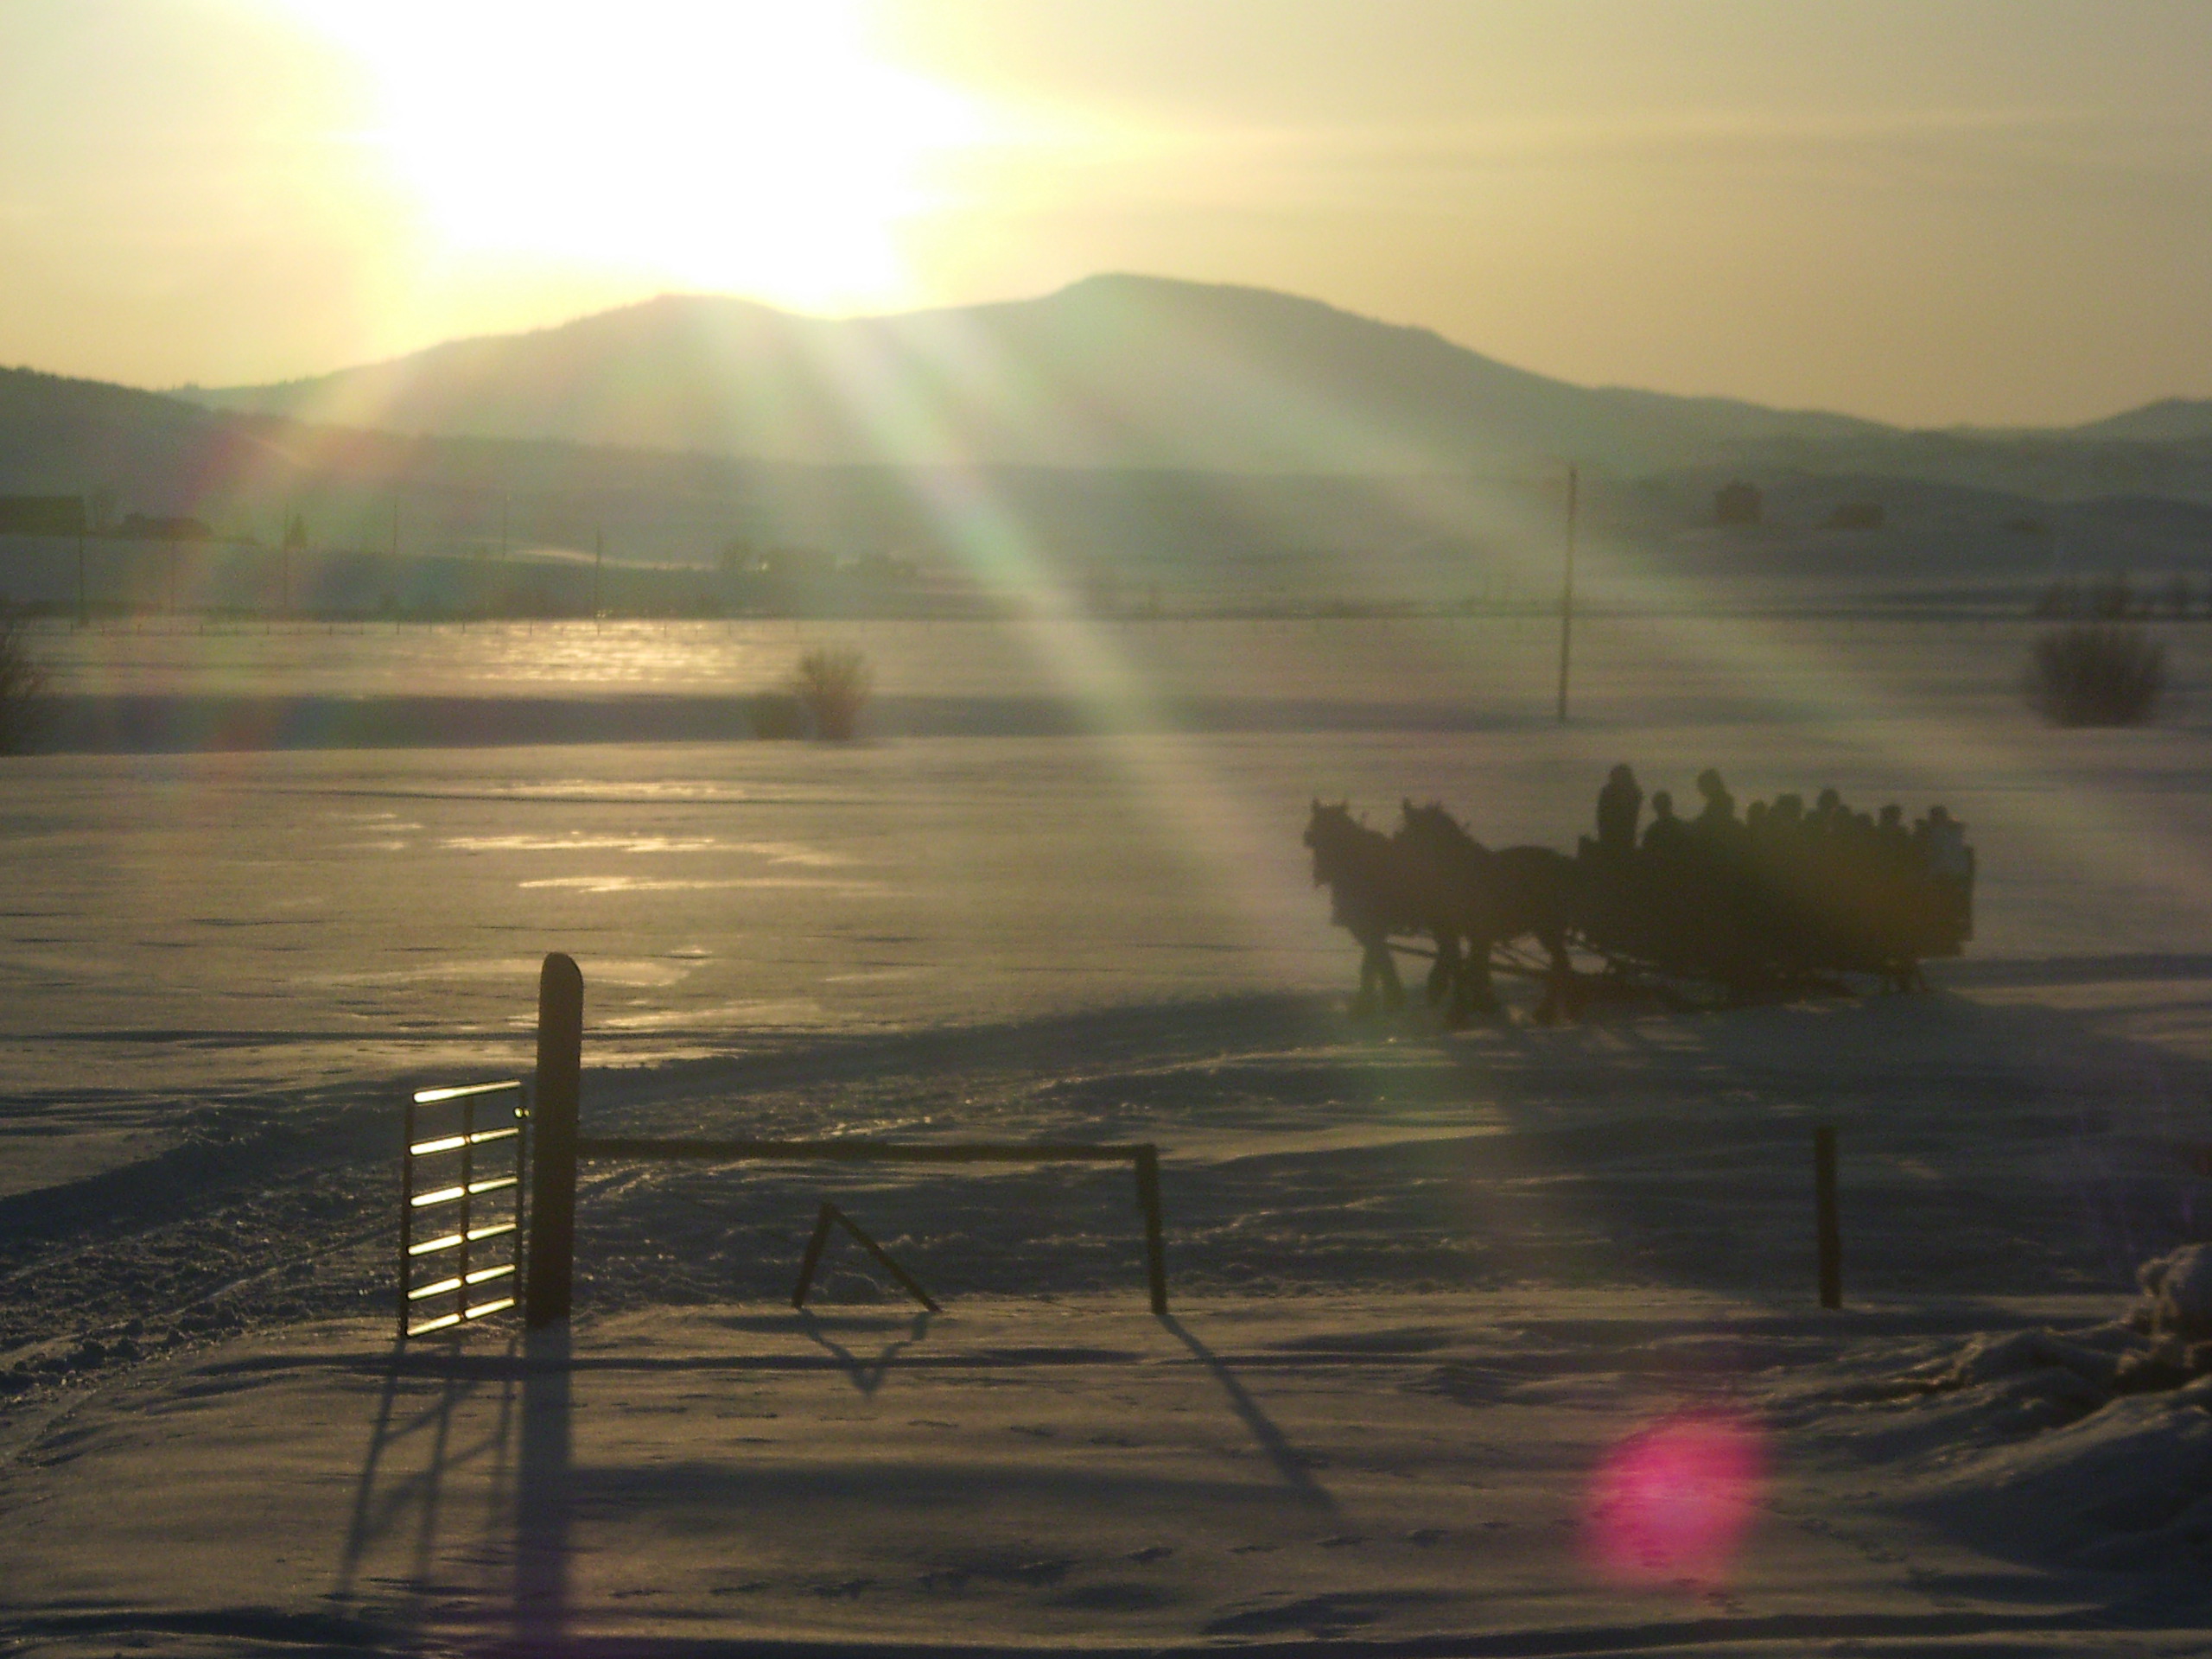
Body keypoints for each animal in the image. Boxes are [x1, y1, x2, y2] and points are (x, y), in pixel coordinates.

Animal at [1292, 800, 1415, 1021]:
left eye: (1335, 836)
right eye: (1312, 838)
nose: (1320, 874)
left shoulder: (1371, 928)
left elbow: (1374, 961)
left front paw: (1373, 1002)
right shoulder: (1368, 928)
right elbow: (1377, 960)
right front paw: (1386, 999)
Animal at [1389, 804, 1583, 1026]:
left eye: (1406, 836)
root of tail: (1564, 863)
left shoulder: (1479, 934)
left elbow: (1472, 967)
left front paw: (1464, 1009)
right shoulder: (1453, 934)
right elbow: (1460, 966)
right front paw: (1467, 1003)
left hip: (1548, 929)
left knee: (1561, 966)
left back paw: (1549, 1012)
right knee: (1560, 965)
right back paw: (1552, 1011)